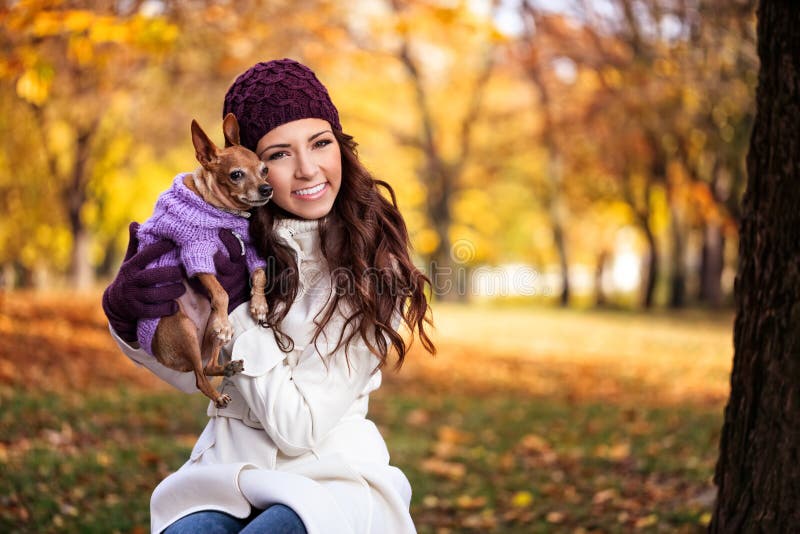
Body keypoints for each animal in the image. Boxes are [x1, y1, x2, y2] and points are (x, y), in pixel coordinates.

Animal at [150, 112, 272, 406]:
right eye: (236, 175)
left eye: (264, 169)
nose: (267, 189)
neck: (223, 213)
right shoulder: (196, 254)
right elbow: (220, 292)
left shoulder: (250, 249)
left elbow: (259, 275)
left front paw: (259, 305)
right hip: (184, 328)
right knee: (199, 377)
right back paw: (217, 395)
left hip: (207, 334)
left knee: (207, 365)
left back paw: (226, 366)